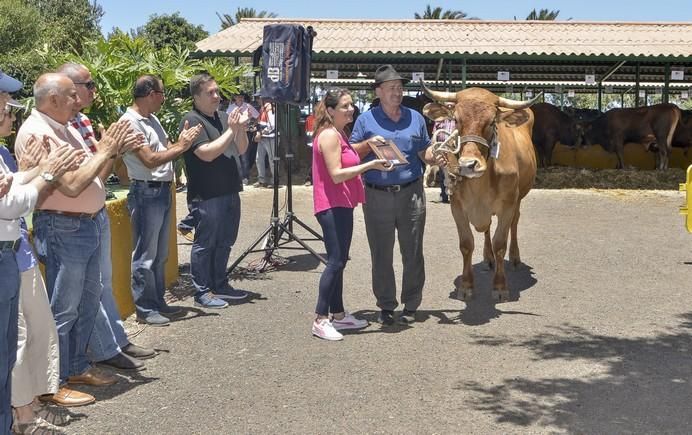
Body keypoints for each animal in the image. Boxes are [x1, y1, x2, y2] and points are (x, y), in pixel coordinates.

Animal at [418, 82, 536, 306]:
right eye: (456, 119)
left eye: (492, 122)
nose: (468, 165)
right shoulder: (457, 207)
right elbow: (466, 244)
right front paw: (466, 286)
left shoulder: (508, 205)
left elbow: (500, 243)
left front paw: (500, 287)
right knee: (487, 228)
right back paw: (488, 258)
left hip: (519, 198)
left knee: (514, 223)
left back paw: (515, 258)